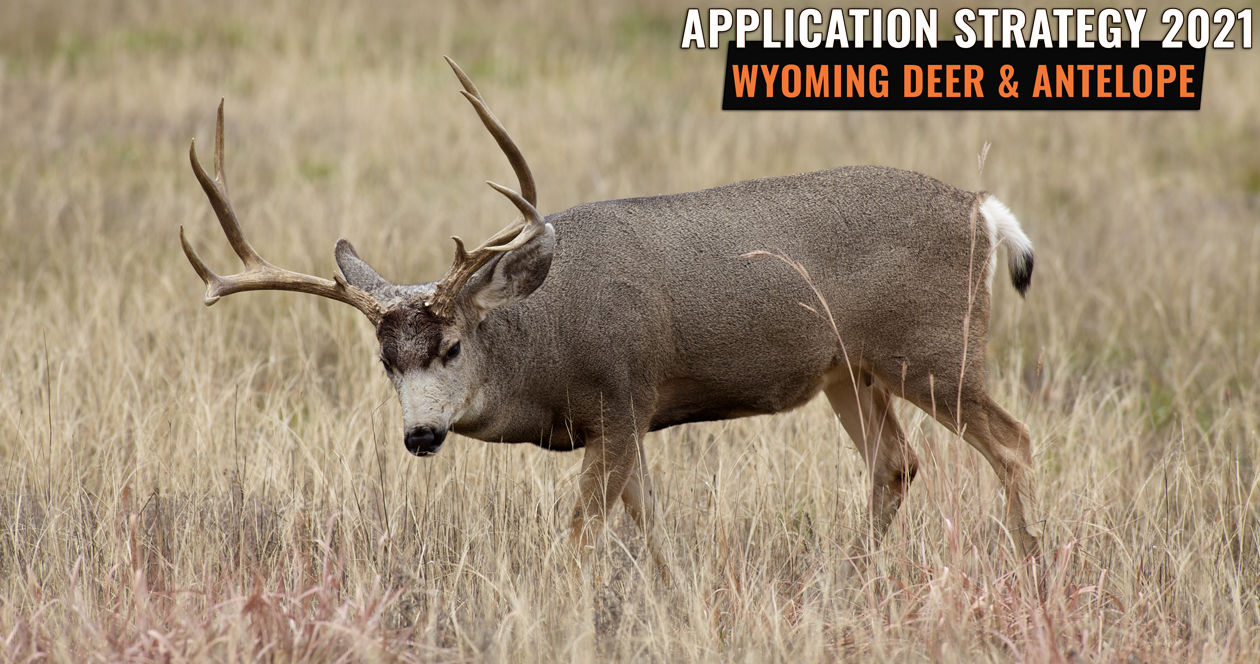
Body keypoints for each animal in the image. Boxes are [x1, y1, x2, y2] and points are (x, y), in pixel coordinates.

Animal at [181, 57, 1040, 578]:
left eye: (452, 345)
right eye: (387, 362)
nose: (420, 435)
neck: (546, 342)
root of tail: (983, 209)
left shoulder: (622, 397)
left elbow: (577, 534)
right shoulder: (627, 419)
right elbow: (651, 527)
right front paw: (673, 592)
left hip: (934, 347)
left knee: (1013, 442)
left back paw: (1029, 565)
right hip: (851, 369)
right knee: (896, 463)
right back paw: (851, 574)